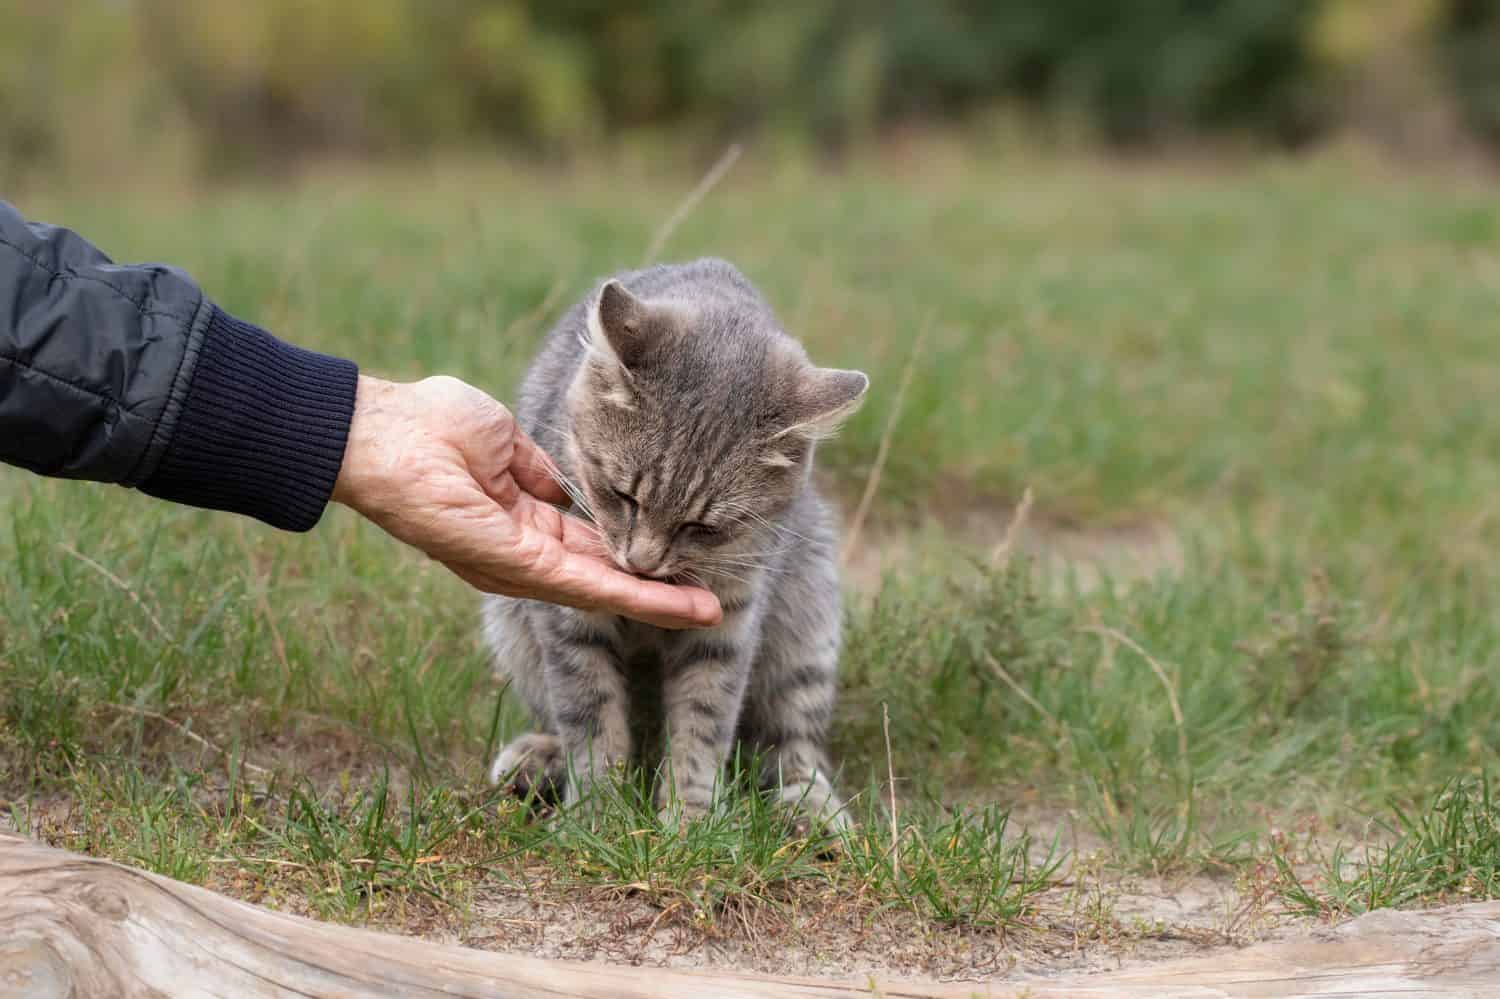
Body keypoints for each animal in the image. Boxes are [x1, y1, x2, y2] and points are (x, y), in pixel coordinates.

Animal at [483, 256, 870, 822]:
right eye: (623, 495)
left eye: (702, 527)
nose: (641, 564)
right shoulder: (569, 623)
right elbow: (591, 719)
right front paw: (597, 815)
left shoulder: (727, 624)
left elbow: (702, 725)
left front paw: (689, 819)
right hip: (510, 626)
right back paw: (539, 758)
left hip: (808, 627)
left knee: (790, 746)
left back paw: (813, 809)